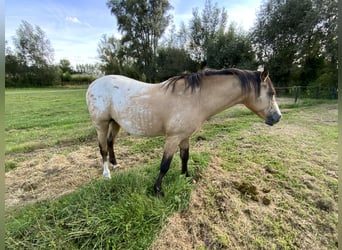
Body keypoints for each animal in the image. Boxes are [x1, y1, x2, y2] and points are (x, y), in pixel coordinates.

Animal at [87, 67, 282, 194]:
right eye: (271, 93)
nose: (277, 117)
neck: (195, 98)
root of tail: (93, 84)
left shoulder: (184, 136)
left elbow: (184, 157)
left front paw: (186, 176)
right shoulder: (173, 138)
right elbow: (165, 164)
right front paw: (157, 190)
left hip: (115, 122)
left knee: (111, 143)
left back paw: (115, 164)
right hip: (101, 124)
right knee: (103, 148)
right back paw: (107, 174)